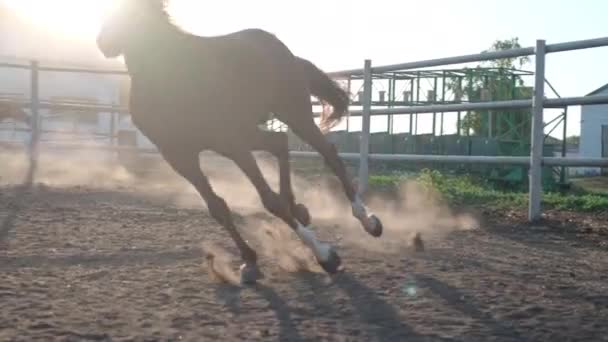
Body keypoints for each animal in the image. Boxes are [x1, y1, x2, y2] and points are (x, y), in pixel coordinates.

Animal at [98, 0, 384, 284]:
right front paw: (249, 261)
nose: (104, 43)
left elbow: (270, 202)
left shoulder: (232, 143)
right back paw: (299, 208)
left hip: (291, 113)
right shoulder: (180, 157)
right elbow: (217, 207)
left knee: (328, 152)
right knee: (280, 142)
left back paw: (369, 221)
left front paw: (326, 256)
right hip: (253, 131)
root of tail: (276, 45)